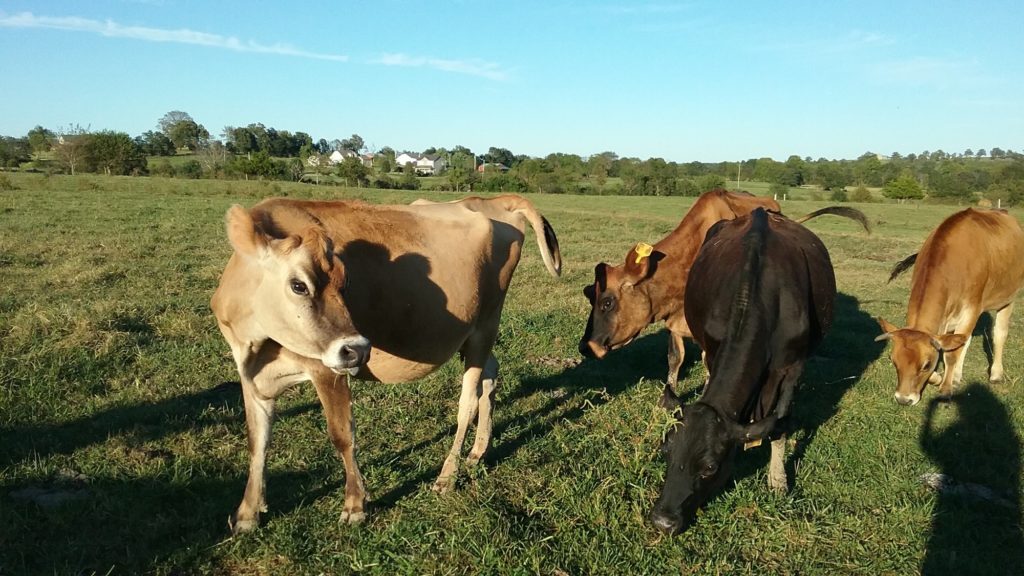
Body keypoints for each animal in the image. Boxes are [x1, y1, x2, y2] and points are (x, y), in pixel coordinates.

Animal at [209, 193, 561, 532]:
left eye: (344, 283)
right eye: (298, 285)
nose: (358, 349)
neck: (258, 345)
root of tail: (491, 201)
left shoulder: (326, 369)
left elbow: (342, 435)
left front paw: (354, 506)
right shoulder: (249, 372)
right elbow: (257, 440)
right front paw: (247, 514)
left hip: (485, 325)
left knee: (468, 401)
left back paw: (447, 475)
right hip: (473, 335)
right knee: (491, 376)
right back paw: (478, 452)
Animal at [651, 207, 835, 532]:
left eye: (710, 467)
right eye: (666, 451)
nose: (663, 521)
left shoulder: (792, 367)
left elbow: (780, 422)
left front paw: (778, 481)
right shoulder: (713, 348)